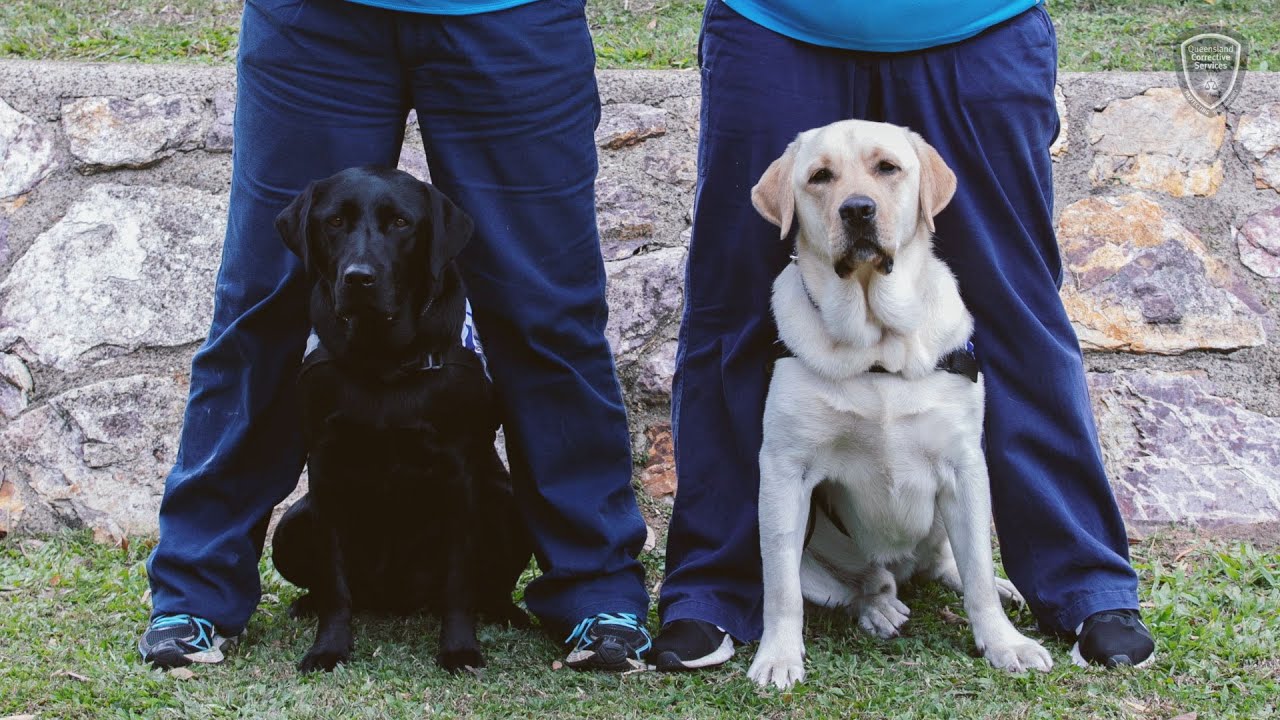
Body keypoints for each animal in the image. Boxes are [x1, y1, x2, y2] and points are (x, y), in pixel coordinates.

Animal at [270, 165, 529, 671]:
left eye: (401, 223)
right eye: (334, 222)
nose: (359, 278)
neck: (383, 360)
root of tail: (395, 600)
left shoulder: (459, 473)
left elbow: (459, 579)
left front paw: (459, 649)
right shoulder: (324, 469)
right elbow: (334, 580)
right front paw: (328, 648)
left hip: (509, 505)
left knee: (490, 584)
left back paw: (504, 611)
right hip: (292, 523)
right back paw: (307, 603)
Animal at [747, 120, 1049, 686]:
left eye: (887, 167)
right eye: (820, 177)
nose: (857, 210)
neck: (878, 348)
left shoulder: (964, 465)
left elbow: (977, 571)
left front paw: (1004, 643)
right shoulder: (783, 469)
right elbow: (780, 588)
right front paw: (777, 654)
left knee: (950, 565)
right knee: (860, 586)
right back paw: (879, 606)